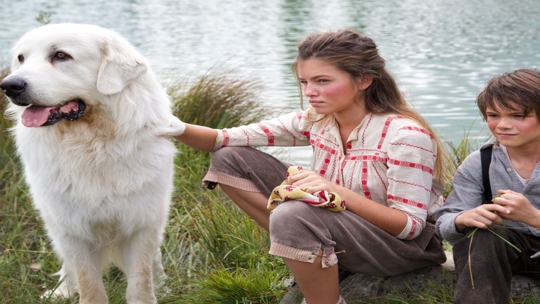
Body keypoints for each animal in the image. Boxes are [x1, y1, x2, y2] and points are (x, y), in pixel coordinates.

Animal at [0, 24, 181, 304]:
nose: (9, 85)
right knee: (68, 265)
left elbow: (141, 280)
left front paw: (151, 291)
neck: (93, 146)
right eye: (21, 58)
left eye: (61, 56)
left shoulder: (142, 222)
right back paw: (62, 290)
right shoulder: (72, 229)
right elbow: (89, 283)